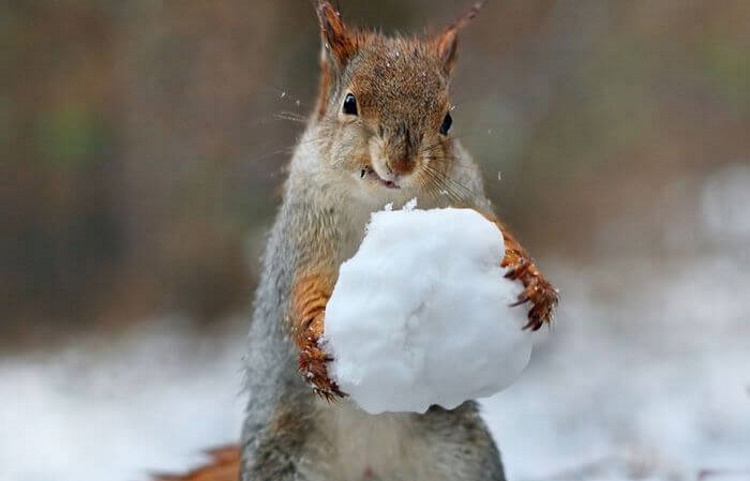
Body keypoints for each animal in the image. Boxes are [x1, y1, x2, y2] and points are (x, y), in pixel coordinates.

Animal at [156, 2, 560, 480]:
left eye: (447, 120)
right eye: (349, 103)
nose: (401, 163)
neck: (380, 204)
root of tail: (369, 466)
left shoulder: (469, 202)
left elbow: (502, 235)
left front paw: (534, 282)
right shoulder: (304, 235)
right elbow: (305, 290)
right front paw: (314, 346)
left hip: (463, 457)